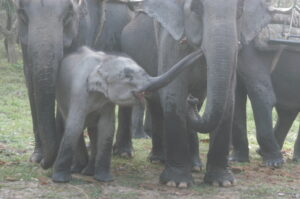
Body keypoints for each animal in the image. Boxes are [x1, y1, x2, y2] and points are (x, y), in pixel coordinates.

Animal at [51, 46, 202, 182]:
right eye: (128, 76)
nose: (192, 99)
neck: (103, 62)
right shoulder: (79, 93)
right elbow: (75, 125)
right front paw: (60, 180)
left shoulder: (107, 102)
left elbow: (107, 128)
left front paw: (104, 179)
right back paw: (77, 169)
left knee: (94, 130)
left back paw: (88, 172)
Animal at [119, 0, 274, 187]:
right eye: (196, 7)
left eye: (240, 9)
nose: (190, 100)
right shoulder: (170, 41)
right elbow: (174, 93)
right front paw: (177, 183)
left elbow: (228, 100)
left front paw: (222, 182)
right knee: (152, 104)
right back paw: (149, 158)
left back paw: (192, 165)